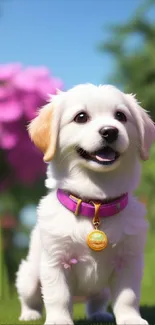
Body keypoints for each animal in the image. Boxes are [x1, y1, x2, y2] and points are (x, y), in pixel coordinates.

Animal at [16, 84, 155, 324]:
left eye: (121, 116)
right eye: (81, 117)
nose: (110, 131)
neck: (96, 203)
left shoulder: (129, 261)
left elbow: (127, 297)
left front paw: (131, 319)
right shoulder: (55, 261)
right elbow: (57, 296)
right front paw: (59, 320)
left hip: (101, 290)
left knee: (96, 300)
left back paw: (99, 314)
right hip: (29, 276)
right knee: (30, 296)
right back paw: (30, 314)